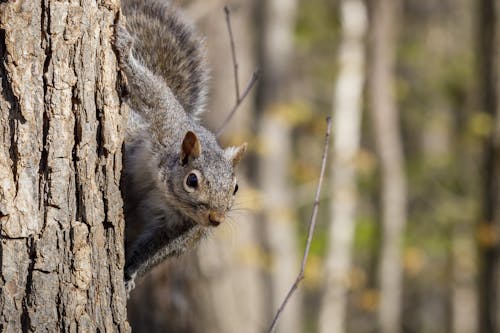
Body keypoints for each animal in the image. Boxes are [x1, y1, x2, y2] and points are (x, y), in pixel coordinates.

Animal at [114, 0, 246, 294]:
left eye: (235, 188)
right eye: (192, 180)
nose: (216, 219)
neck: (165, 192)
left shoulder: (180, 229)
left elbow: (157, 250)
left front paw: (129, 273)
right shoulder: (166, 121)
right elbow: (153, 91)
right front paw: (124, 51)